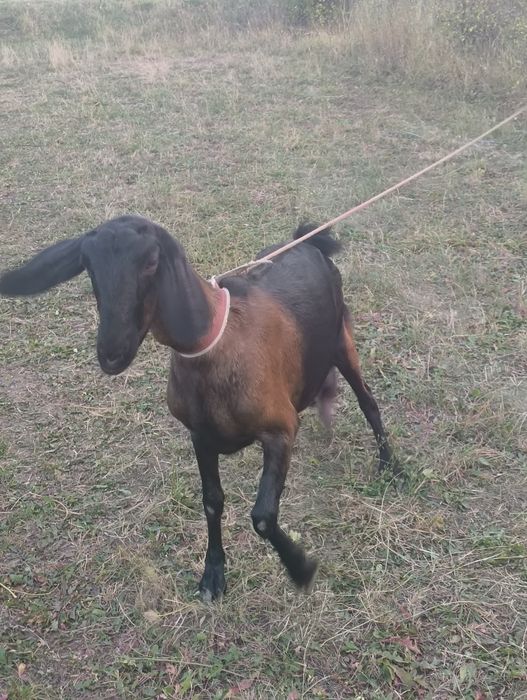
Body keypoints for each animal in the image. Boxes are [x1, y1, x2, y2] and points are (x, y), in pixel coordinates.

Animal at [0, 215, 394, 600]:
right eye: (88, 266)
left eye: (151, 261)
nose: (111, 352)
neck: (218, 345)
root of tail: (309, 242)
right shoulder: (200, 436)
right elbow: (212, 501)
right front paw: (213, 574)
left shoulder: (280, 430)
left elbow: (263, 516)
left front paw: (301, 568)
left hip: (342, 341)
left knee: (368, 402)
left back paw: (391, 467)